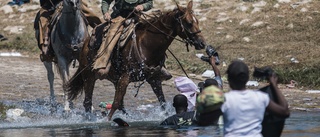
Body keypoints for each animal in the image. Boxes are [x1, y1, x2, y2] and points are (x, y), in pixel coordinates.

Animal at [67, 0, 206, 119]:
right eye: (189, 23)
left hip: (114, 78)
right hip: (89, 76)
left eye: (197, 21)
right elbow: (115, 103)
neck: (147, 45)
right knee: (88, 102)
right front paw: (107, 121)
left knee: (120, 104)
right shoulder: (125, 77)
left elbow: (162, 102)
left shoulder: (154, 79)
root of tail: (85, 44)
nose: (202, 43)